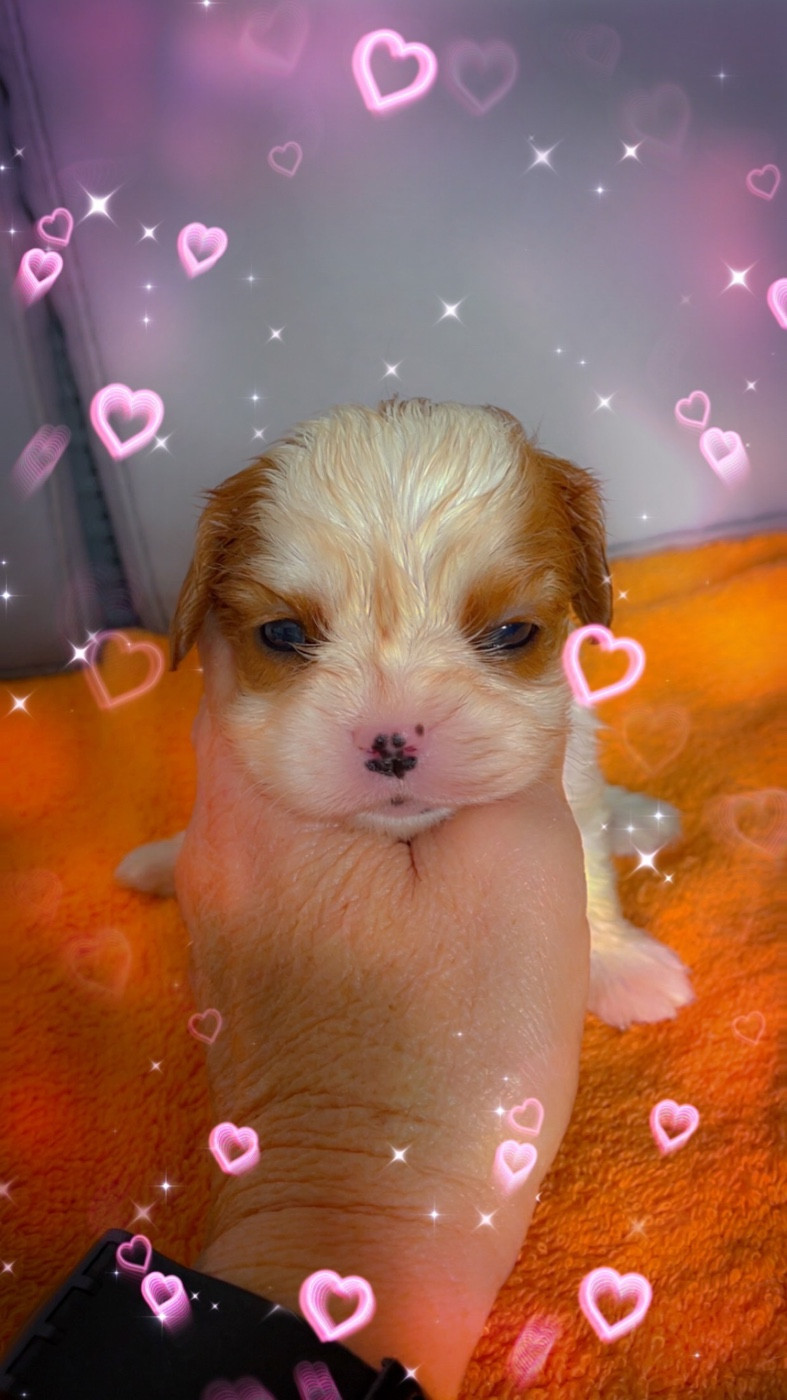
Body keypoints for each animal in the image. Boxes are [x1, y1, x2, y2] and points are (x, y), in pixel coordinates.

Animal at [117, 397, 693, 1029]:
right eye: (283, 633)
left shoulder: (571, 775)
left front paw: (623, 965)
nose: (391, 743)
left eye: (513, 632)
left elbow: (588, 868)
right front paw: (163, 859)